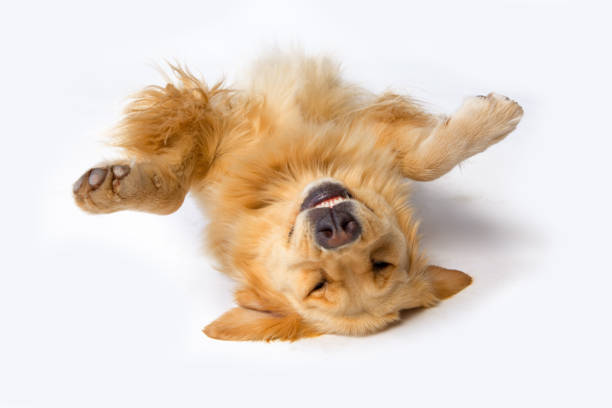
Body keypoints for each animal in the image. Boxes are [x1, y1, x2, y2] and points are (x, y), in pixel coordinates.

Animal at [71, 53, 520, 342]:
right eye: (318, 285)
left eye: (378, 263)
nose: (338, 229)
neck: (293, 173)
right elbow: (172, 188)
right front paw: (112, 188)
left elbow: (423, 160)